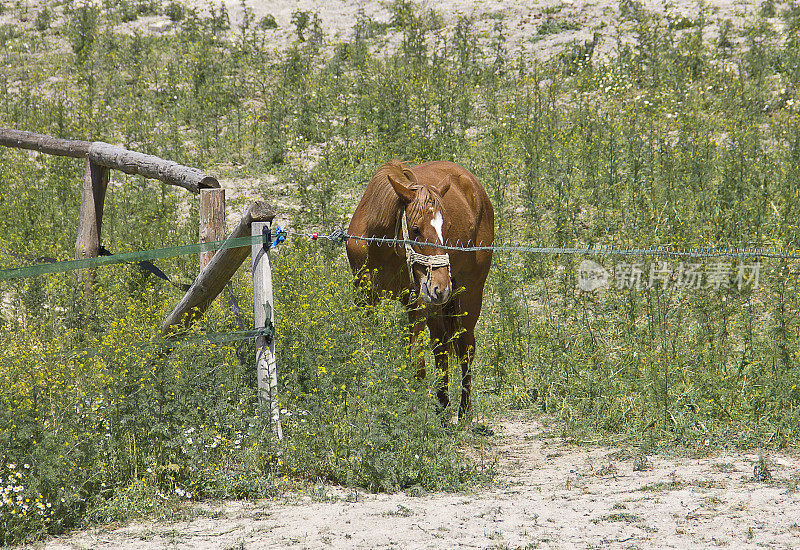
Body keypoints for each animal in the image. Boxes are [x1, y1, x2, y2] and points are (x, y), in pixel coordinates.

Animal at [346, 161, 494, 422]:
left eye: (447, 227)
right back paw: (443, 409)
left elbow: (416, 360)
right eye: (415, 229)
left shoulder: (417, 303)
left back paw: (463, 414)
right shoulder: (365, 299)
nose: (442, 286)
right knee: (441, 348)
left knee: (466, 349)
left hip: (469, 296)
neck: (384, 246)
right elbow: (368, 348)